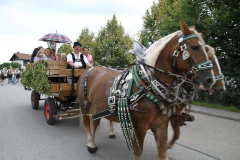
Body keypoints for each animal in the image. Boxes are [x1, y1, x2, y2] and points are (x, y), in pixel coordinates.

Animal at [77, 20, 216, 160]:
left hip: (98, 106)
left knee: (95, 122)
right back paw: (91, 144)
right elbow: (138, 152)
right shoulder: (140, 127)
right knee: (87, 122)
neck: (149, 86)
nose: (210, 80)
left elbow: (162, 150)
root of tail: (90, 69)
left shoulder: (161, 124)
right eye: (195, 47)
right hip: (85, 105)